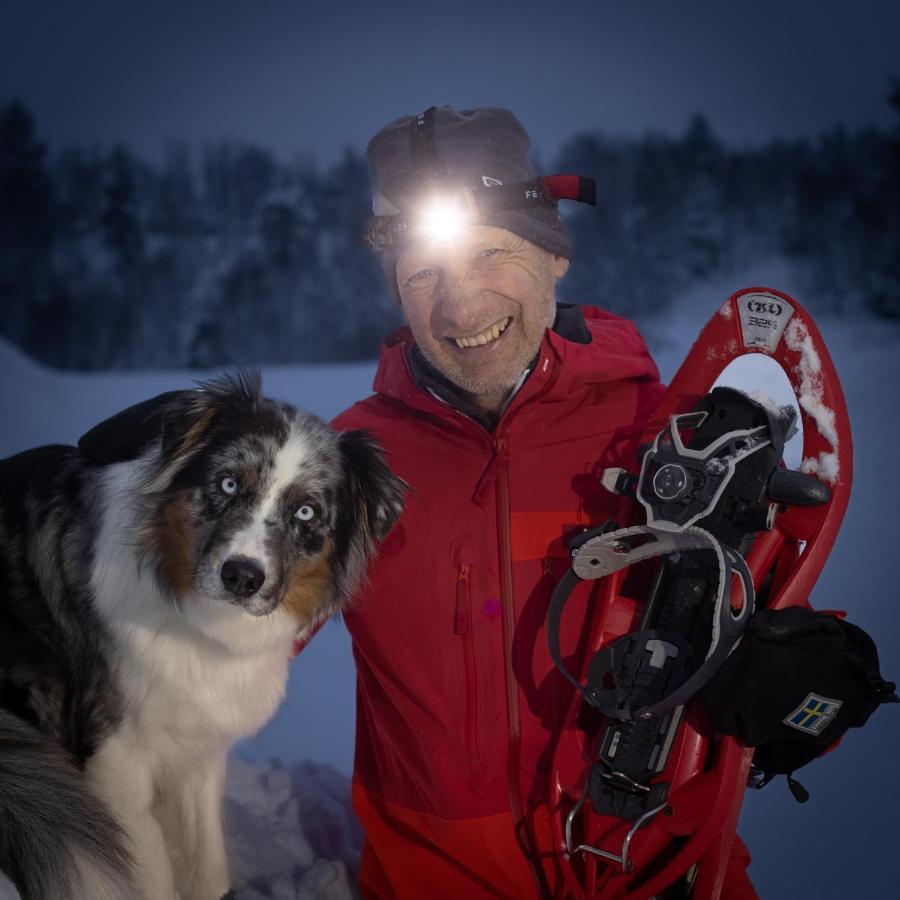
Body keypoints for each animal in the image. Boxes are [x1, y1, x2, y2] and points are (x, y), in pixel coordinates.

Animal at [0, 372, 404, 900]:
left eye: (306, 513)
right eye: (228, 483)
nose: (242, 577)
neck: (198, 625)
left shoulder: (197, 752)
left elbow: (206, 863)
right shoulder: (115, 760)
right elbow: (147, 872)